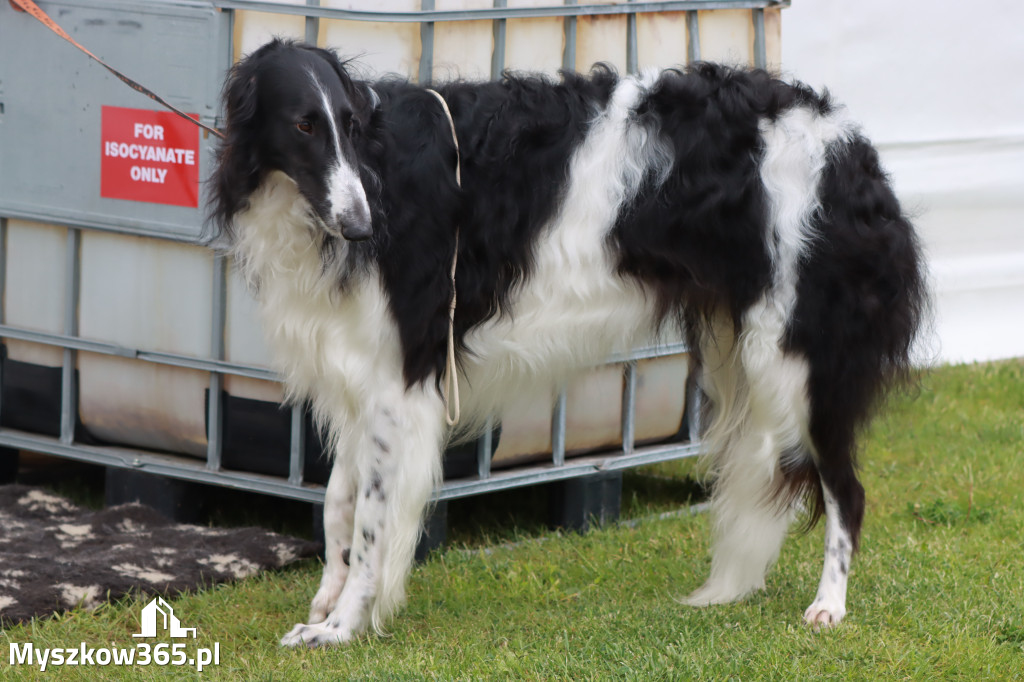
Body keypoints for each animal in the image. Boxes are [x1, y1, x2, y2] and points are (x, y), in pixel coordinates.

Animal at [209, 39, 929, 647]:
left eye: (349, 125)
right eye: (303, 126)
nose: (361, 225)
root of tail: (849, 144)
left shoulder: (402, 378)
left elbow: (373, 523)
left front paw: (342, 627)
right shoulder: (360, 372)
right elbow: (337, 506)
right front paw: (326, 608)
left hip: (799, 361)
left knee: (846, 491)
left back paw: (829, 605)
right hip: (747, 351)